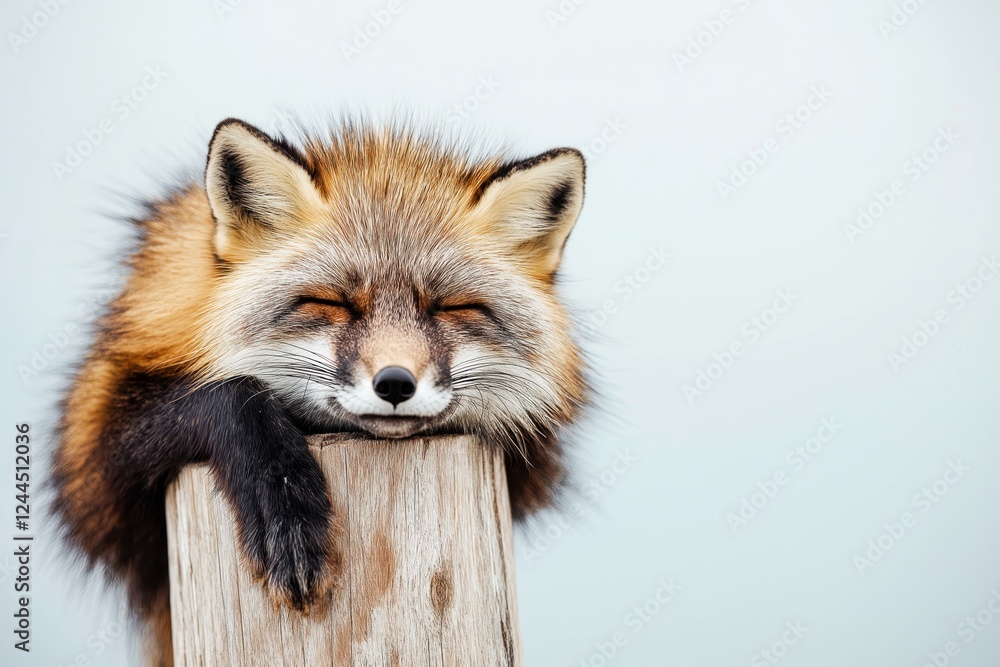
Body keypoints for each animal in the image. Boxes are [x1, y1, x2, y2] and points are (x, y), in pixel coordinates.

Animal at [51, 117, 589, 665]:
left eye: (454, 308)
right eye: (330, 303)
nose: (395, 383)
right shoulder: (93, 461)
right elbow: (233, 396)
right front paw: (285, 512)